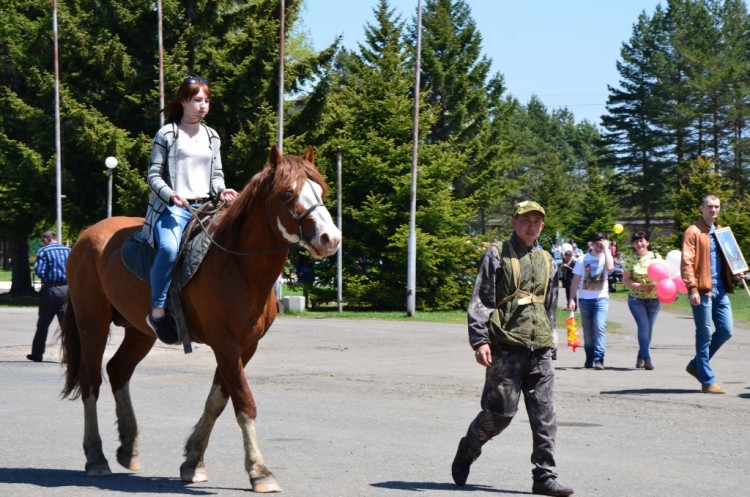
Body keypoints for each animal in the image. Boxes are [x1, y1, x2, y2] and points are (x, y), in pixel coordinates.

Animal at [60, 145, 342, 490]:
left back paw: (128, 446)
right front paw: (259, 471)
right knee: (91, 381)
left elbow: (217, 401)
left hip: (141, 332)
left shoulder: (245, 347)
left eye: (321, 190)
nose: (330, 238)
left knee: (118, 370)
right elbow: (243, 403)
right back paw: (96, 457)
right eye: (288, 193)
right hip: (92, 325)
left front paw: (193, 461)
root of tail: (86, 236)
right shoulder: (225, 343)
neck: (238, 266)